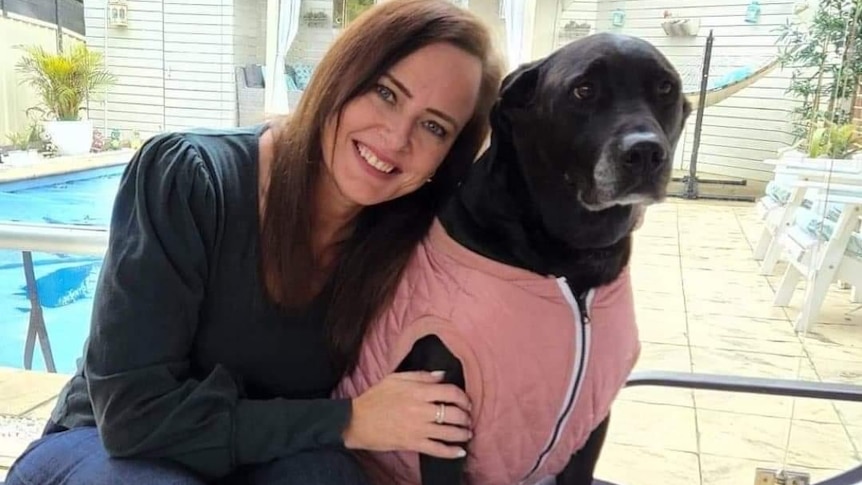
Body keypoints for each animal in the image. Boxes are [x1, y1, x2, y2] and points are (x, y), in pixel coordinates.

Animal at [348, 34, 692, 484]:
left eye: (665, 88)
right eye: (583, 90)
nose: (647, 152)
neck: (572, 265)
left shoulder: (592, 422)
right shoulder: (443, 420)